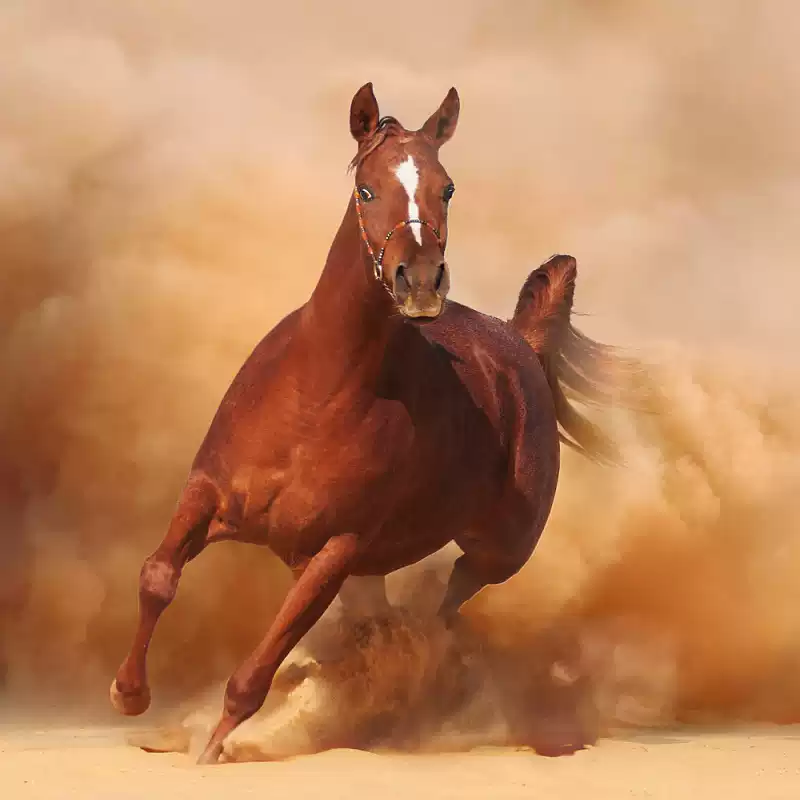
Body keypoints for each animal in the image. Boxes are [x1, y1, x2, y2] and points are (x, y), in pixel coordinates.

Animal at [110, 82, 623, 764]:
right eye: (368, 189)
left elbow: (261, 664)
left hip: (496, 551)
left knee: (442, 611)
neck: (316, 396)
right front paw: (128, 693)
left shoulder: (336, 550)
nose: (421, 281)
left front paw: (212, 749)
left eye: (447, 187)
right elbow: (158, 577)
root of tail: (520, 342)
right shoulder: (209, 492)